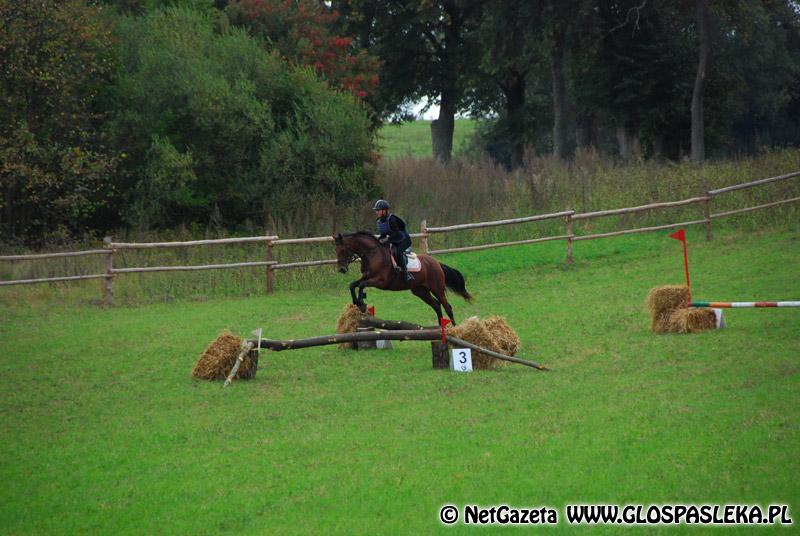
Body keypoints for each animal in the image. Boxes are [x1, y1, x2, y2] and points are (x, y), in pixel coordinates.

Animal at [332, 231, 472, 324]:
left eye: (343, 250)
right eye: (336, 251)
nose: (342, 269)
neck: (372, 254)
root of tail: (436, 263)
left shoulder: (380, 281)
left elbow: (361, 286)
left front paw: (361, 303)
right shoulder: (366, 277)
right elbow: (352, 285)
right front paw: (357, 302)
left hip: (437, 288)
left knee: (447, 306)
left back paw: (453, 329)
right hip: (420, 291)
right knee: (436, 305)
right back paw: (440, 328)